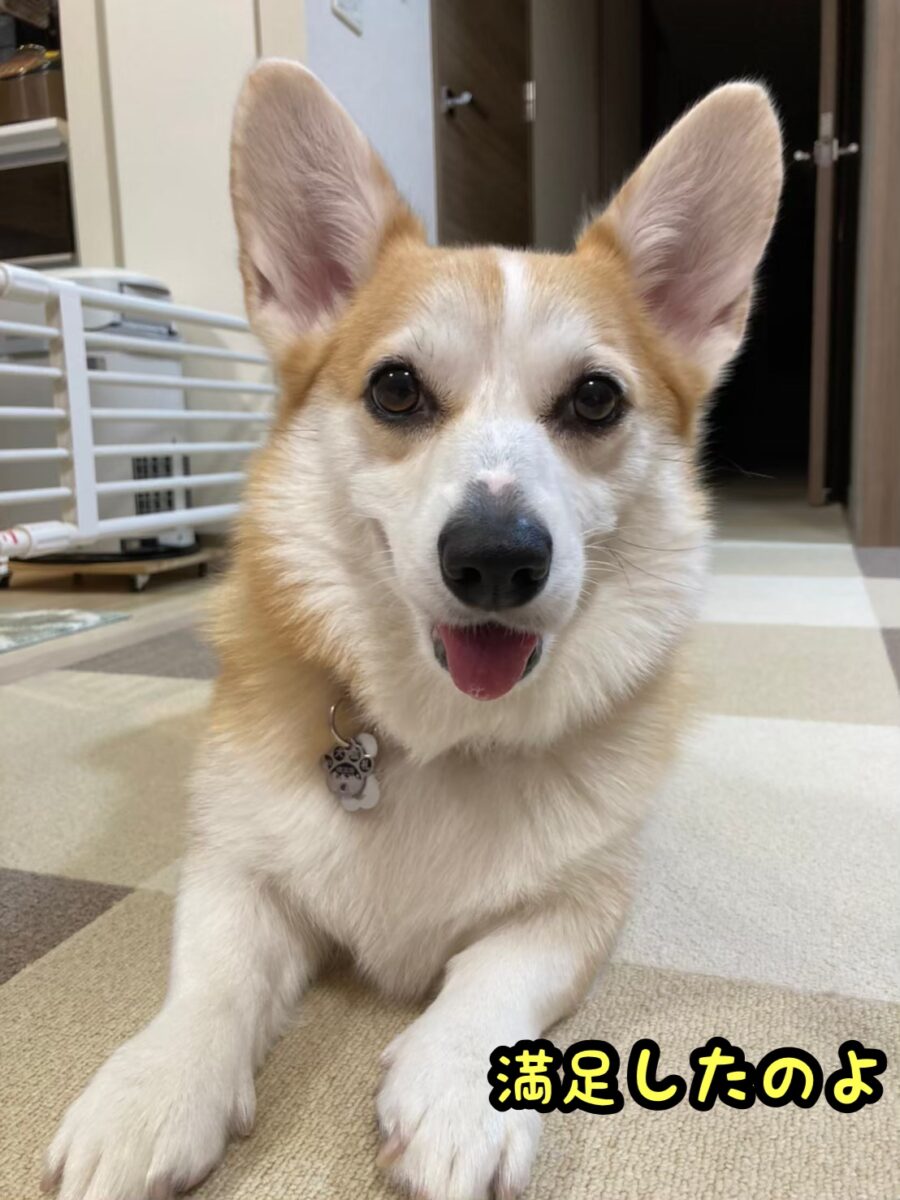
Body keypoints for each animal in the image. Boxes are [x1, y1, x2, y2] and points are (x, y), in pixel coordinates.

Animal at [44, 62, 782, 1200]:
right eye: (396, 388)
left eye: (595, 399)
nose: (496, 558)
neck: (434, 730)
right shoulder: (234, 870)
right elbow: (210, 980)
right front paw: (151, 1091)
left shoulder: (583, 903)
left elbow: (494, 975)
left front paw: (457, 1091)